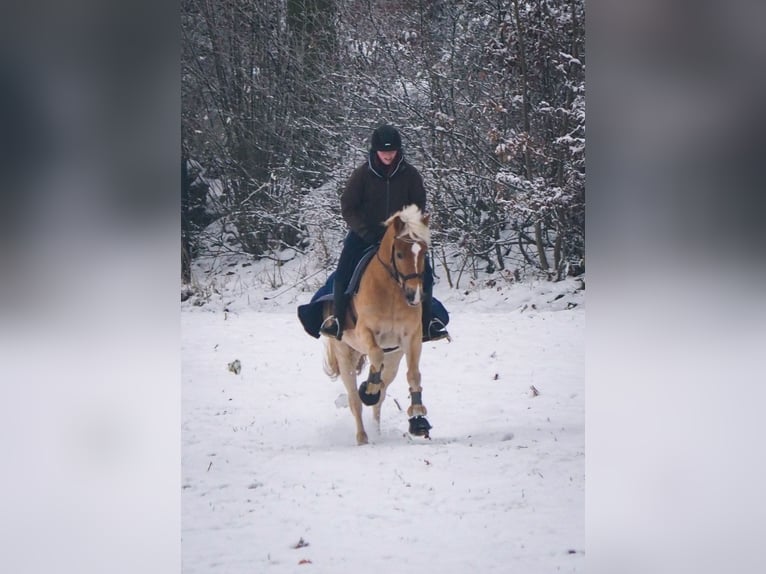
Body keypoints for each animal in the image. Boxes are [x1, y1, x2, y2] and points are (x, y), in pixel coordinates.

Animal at [322, 205, 432, 448]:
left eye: (423, 253)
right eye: (399, 253)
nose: (414, 295)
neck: (392, 291)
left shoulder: (412, 338)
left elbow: (413, 374)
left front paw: (418, 416)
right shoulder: (365, 332)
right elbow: (375, 354)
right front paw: (368, 389)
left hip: (394, 360)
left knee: (381, 395)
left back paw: (377, 431)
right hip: (344, 354)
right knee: (355, 399)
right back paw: (363, 436)